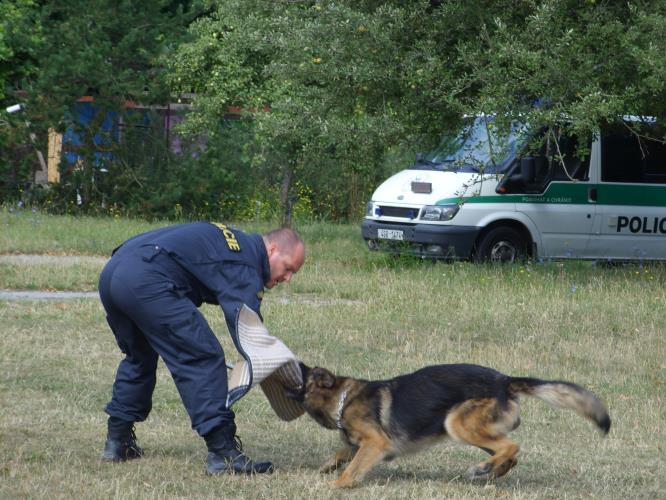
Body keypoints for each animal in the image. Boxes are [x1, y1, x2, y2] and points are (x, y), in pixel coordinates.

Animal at [288, 364, 608, 488]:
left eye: (305, 376)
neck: (344, 399)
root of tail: (504, 381)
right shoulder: (360, 443)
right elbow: (343, 452)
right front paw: (327, 467)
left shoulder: (375, 443)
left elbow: (353, 466)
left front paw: (335, 485)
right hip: (475, 428)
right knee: (509, 452)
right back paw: (491, 471)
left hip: (456, 422)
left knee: (512, 446)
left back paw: (484, 468)